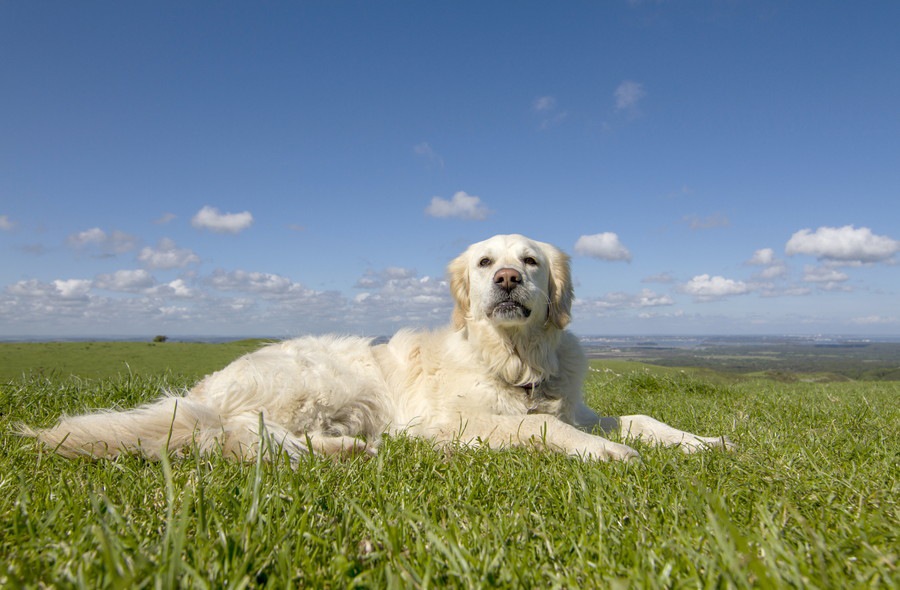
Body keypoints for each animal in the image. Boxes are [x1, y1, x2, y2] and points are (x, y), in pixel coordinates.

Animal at [19, 235, 732, 462]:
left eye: (530, 261)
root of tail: (203, 391)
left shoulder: (576, 405)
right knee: (247, 438)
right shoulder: (451, 422)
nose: (506, 279)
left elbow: (638, 417)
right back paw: (344, 453)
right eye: (485, 262)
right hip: (321, 379)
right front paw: (609, 453)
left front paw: (704, 441)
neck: (518, 357)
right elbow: (542, 430)